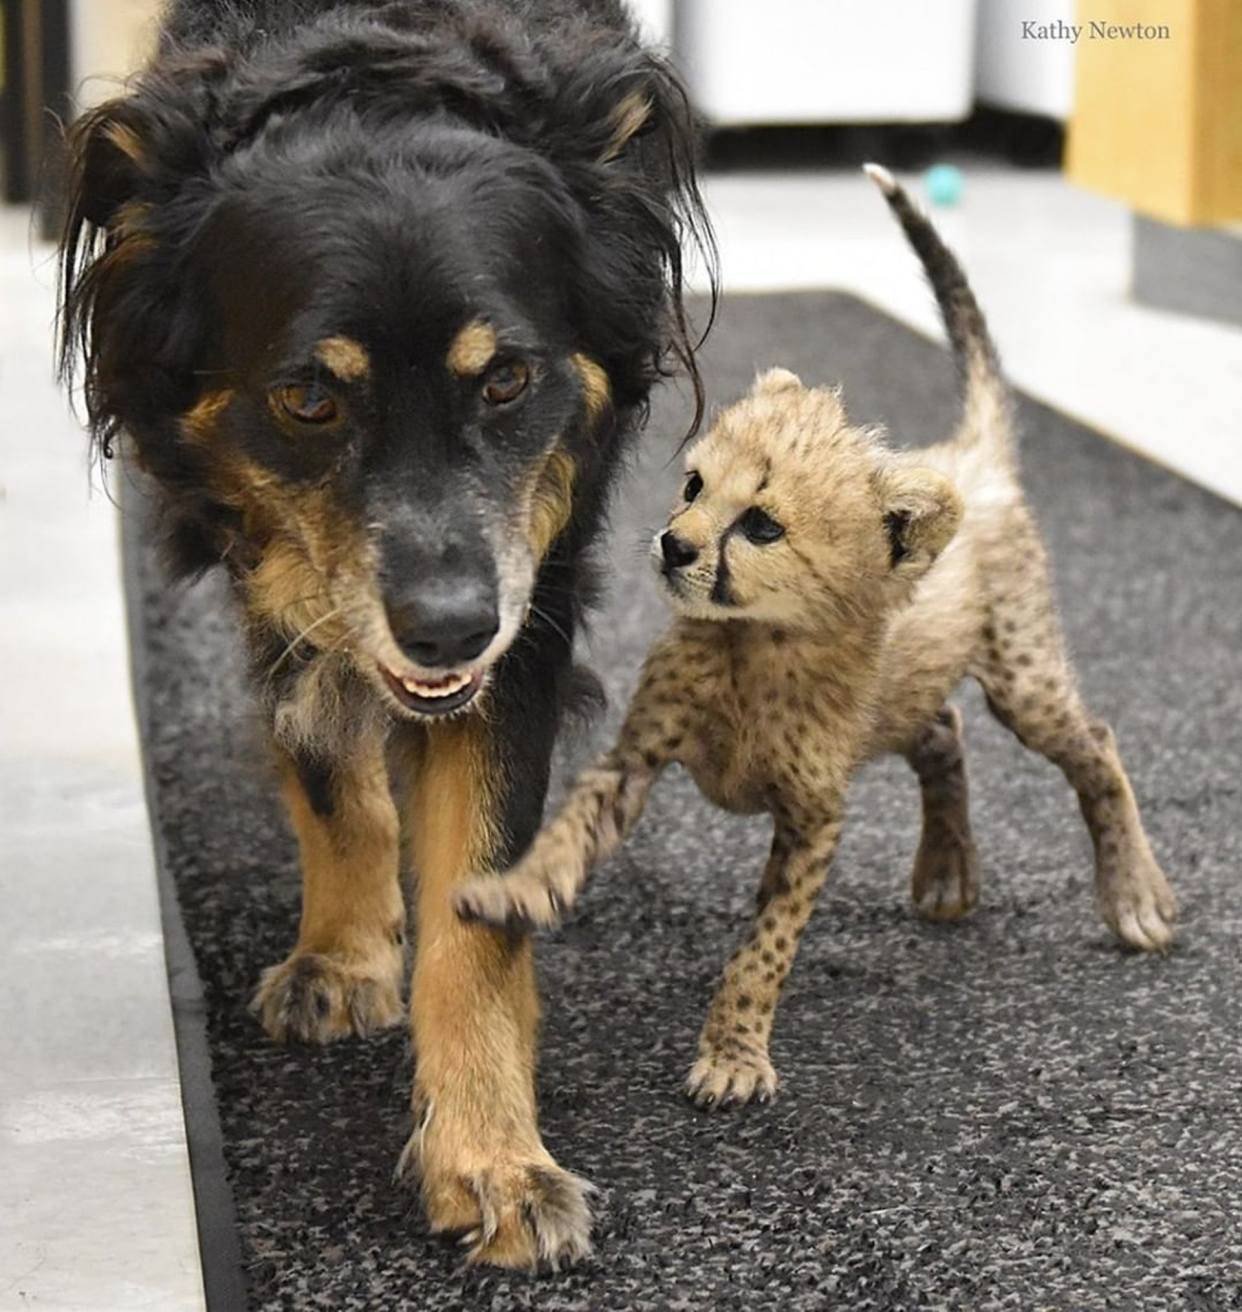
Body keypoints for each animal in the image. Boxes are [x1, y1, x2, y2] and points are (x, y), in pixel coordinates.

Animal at [63, 0, 713, 1270]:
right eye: (310, 399)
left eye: (507, 379)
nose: (450, 631)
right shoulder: (282, 556)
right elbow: (327, 771)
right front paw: (347, 953)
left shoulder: (529, 588)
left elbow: (477, 904)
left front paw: (493, 1156)